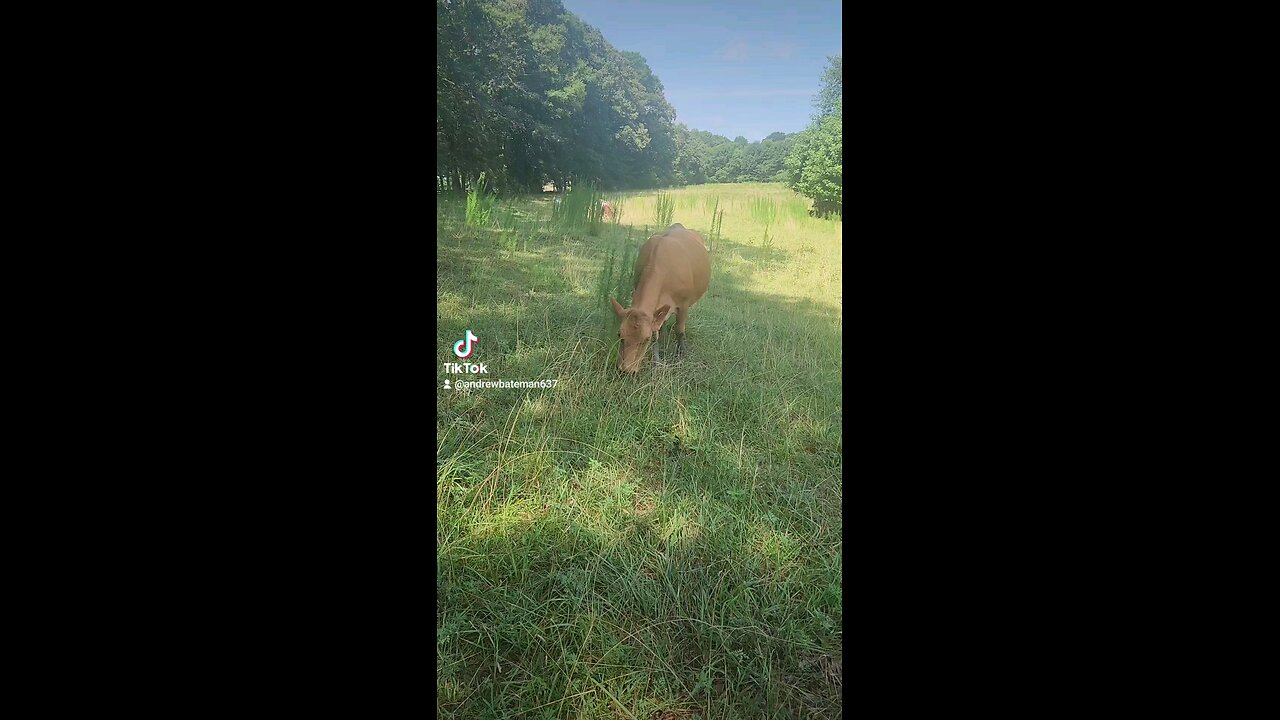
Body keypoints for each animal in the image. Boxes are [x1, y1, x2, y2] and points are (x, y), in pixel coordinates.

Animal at [606, 221, 711, 371]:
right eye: (619, 335)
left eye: (646, 339)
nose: (625, 369)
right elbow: (657, 333)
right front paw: (657, 361)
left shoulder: (684, 304)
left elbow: (679, 330)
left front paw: (683, 355)